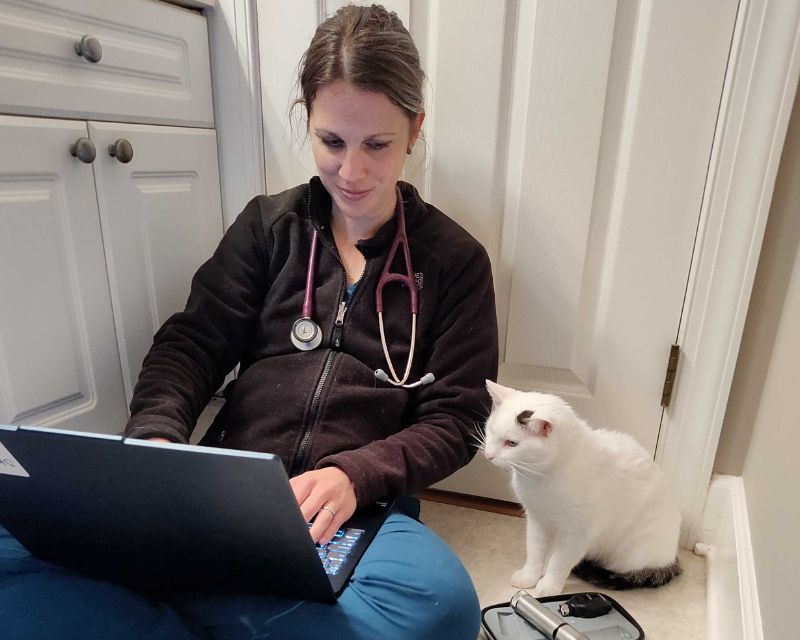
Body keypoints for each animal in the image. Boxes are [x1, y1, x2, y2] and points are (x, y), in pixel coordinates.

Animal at [481, 380, 681, 597]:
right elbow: (534, 551)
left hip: (631, 553)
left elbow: (560, 561)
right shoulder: (536, 520)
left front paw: (550, 584)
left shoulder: (577, 532)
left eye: (512, 443)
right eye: (490, 430)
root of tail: (671, 559)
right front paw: (529, 575)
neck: (540, 478)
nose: (488, 455)